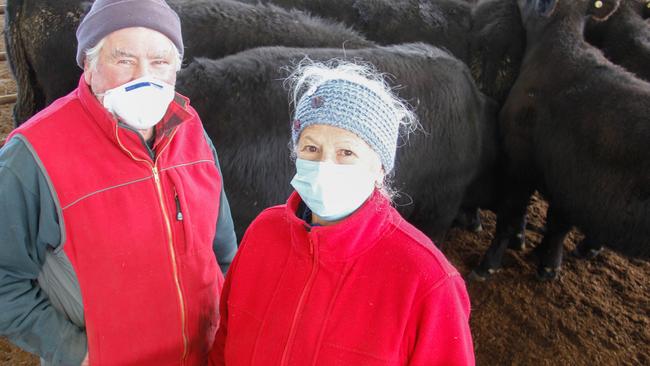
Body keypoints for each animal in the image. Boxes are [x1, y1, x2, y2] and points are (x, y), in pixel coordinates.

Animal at [470, 0, 648, 282]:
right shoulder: (568, 179)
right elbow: (558, 224)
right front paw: (547, 264)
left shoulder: (522, 163)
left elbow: (512, 216)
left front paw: (488, 266)